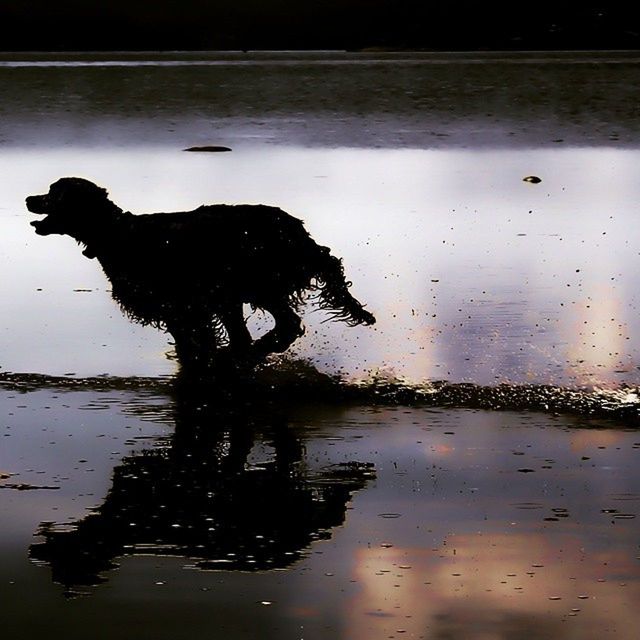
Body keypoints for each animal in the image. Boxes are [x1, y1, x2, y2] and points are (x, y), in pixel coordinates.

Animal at [26, 178, 376, 372]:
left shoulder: (183, 307)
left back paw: (241, 359)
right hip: (236, 293)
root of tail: (300, 235)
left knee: (279, 328)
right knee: (264, 333)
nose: (29, 199)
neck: (118, 234)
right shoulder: (184, 309)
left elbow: (194, 346)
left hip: (251, 286)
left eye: (55, 193)